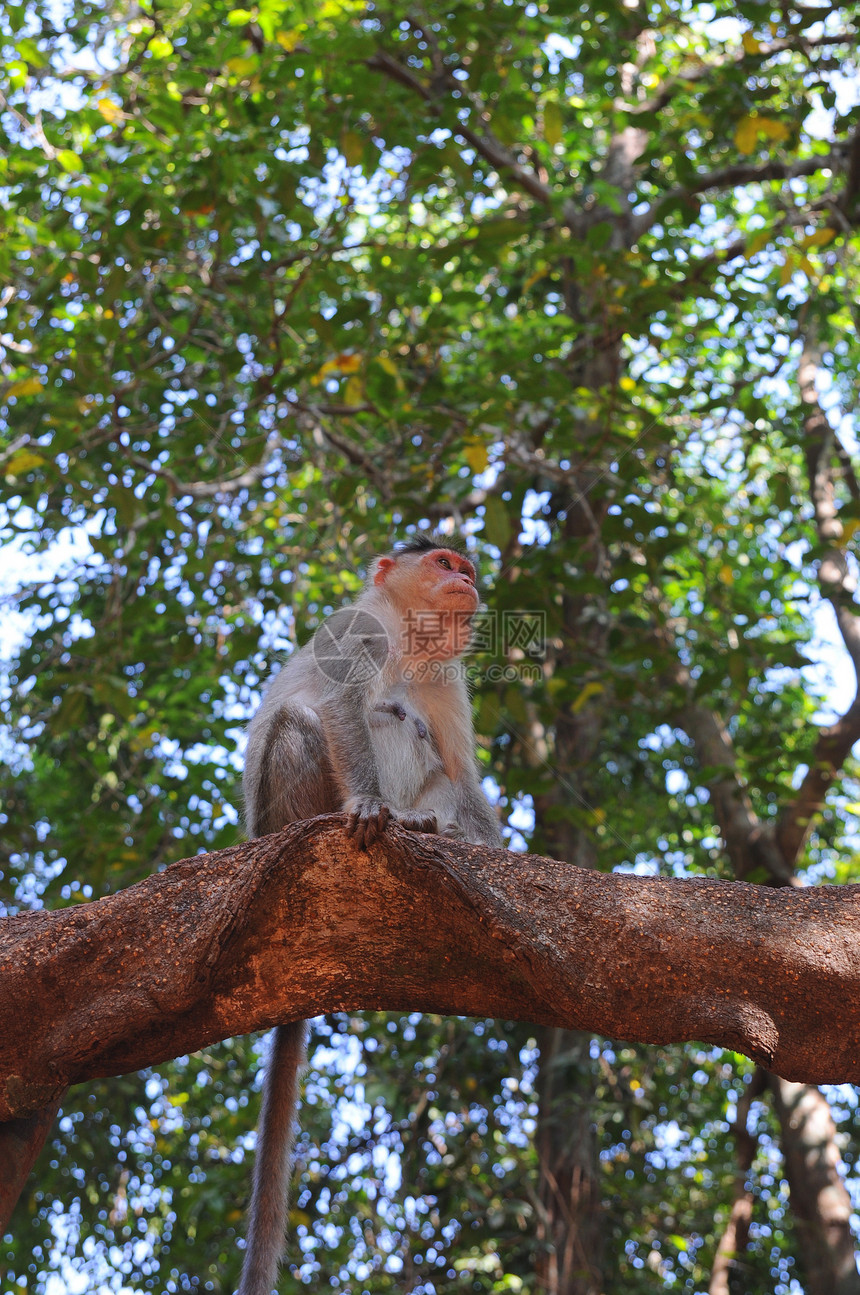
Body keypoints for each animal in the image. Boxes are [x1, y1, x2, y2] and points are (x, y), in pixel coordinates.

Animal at [238, 533, 499, 1295]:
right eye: (443, 563)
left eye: (465, 568)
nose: (466, 581)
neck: (410, 641)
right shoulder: (357, 627)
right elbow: (342, 706)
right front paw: (366, 806)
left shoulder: (447, 678)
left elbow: (461, 773)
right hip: (279, 814)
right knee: (313, 721)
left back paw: (431, 828)